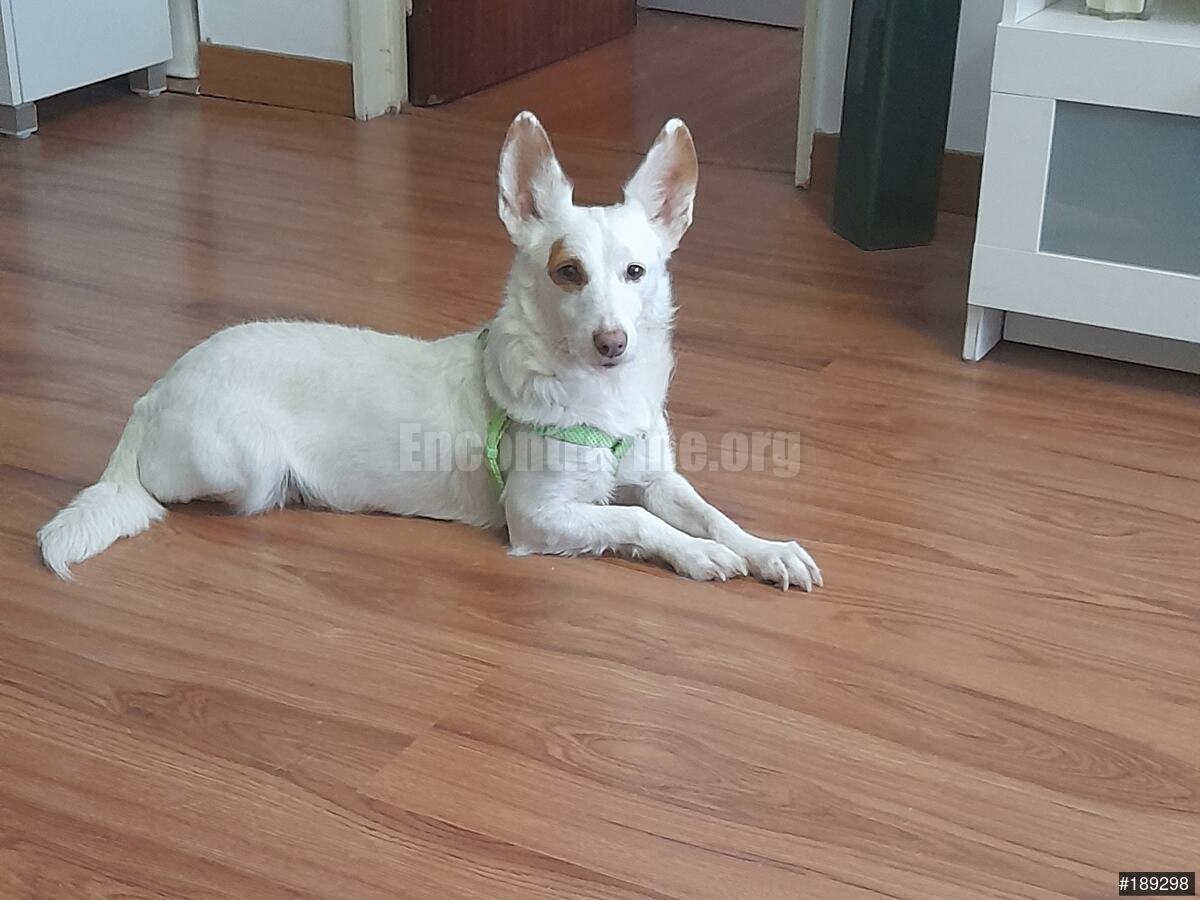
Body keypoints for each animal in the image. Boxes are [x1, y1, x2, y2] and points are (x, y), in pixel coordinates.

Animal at [37, 112, 821, 590]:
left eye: (637, 272)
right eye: (567, 272)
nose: (612, 343)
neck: (598, 400)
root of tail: (155, 392)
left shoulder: (658, 475)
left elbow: (708, 510)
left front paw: (765, 548)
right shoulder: (539, 515)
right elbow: (635, 520)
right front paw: (698, 554)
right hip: (245, 465)